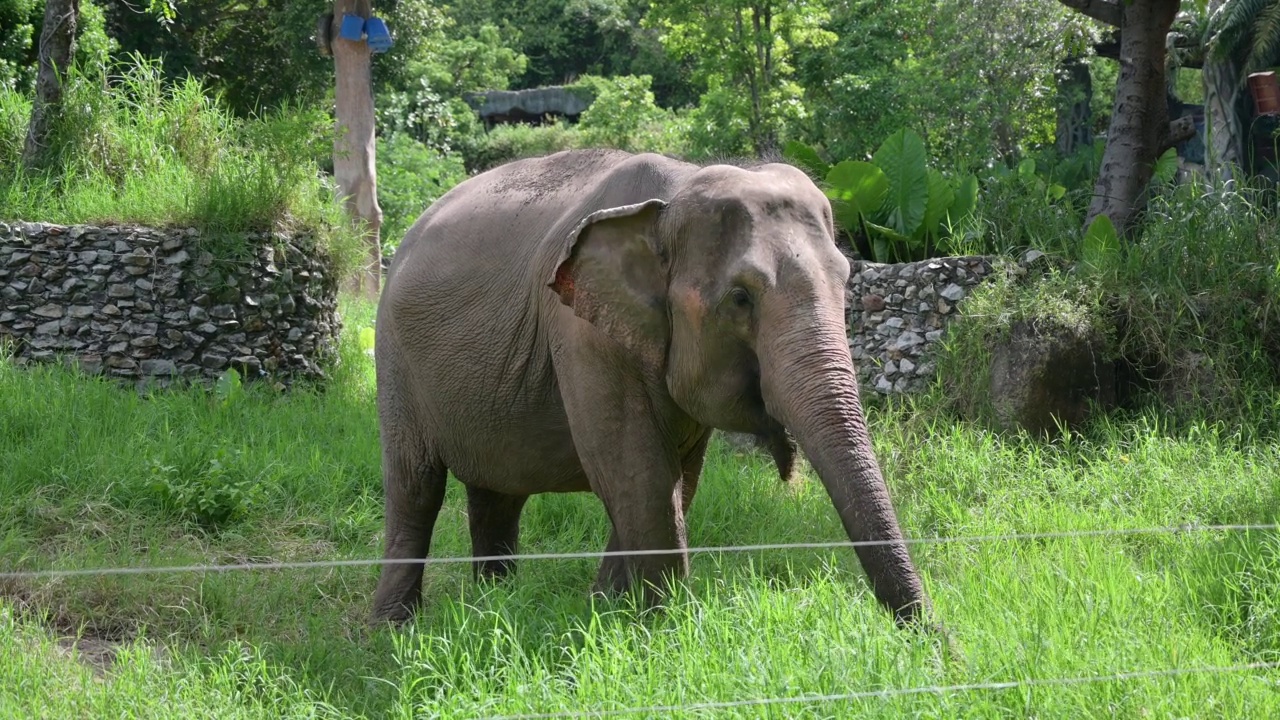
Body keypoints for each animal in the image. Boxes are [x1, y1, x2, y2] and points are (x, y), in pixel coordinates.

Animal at [371, 148, 931, 625]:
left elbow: (676, 479)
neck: (676, 191)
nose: (935, 639)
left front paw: (606, 613)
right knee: (416, 486)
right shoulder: (581, 333)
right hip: (393, 359)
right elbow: (640, 474)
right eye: (740, 299)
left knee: (497, 493)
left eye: (846, 283)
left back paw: (495, 601)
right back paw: (394, 629)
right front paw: (661, 629)